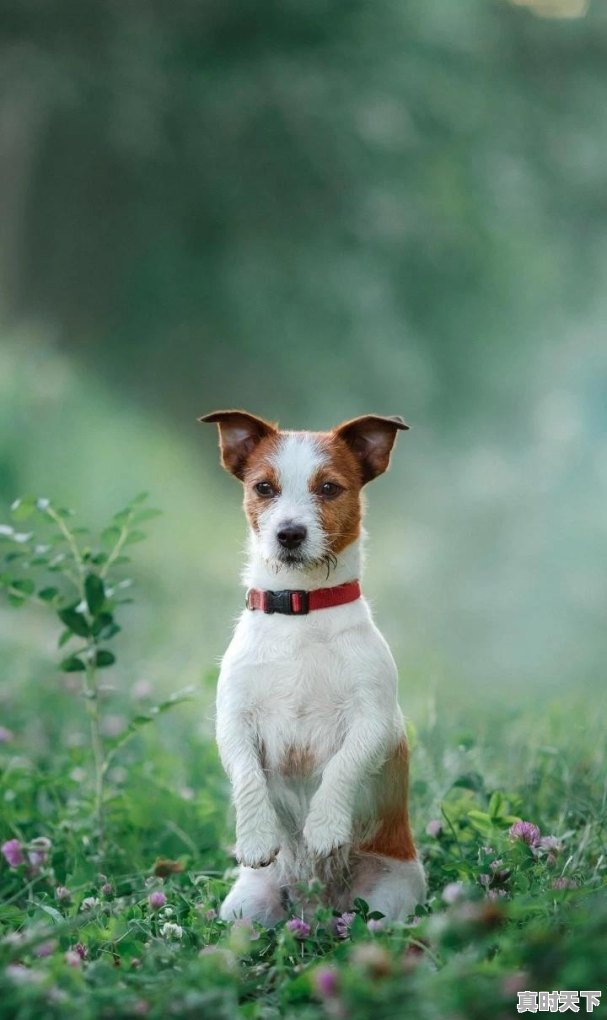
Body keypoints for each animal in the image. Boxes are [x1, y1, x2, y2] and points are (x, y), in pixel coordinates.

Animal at [200, 408, 428, 926]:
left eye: (329, 488)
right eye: (264, 487)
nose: (289, 533)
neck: (300, 610)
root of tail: (317, 904)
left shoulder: (373, 719)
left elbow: (344, 765)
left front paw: (323, 826)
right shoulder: (233, 719)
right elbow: (245, 774)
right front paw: (255, 836)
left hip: (388, 899)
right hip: (246, 908)